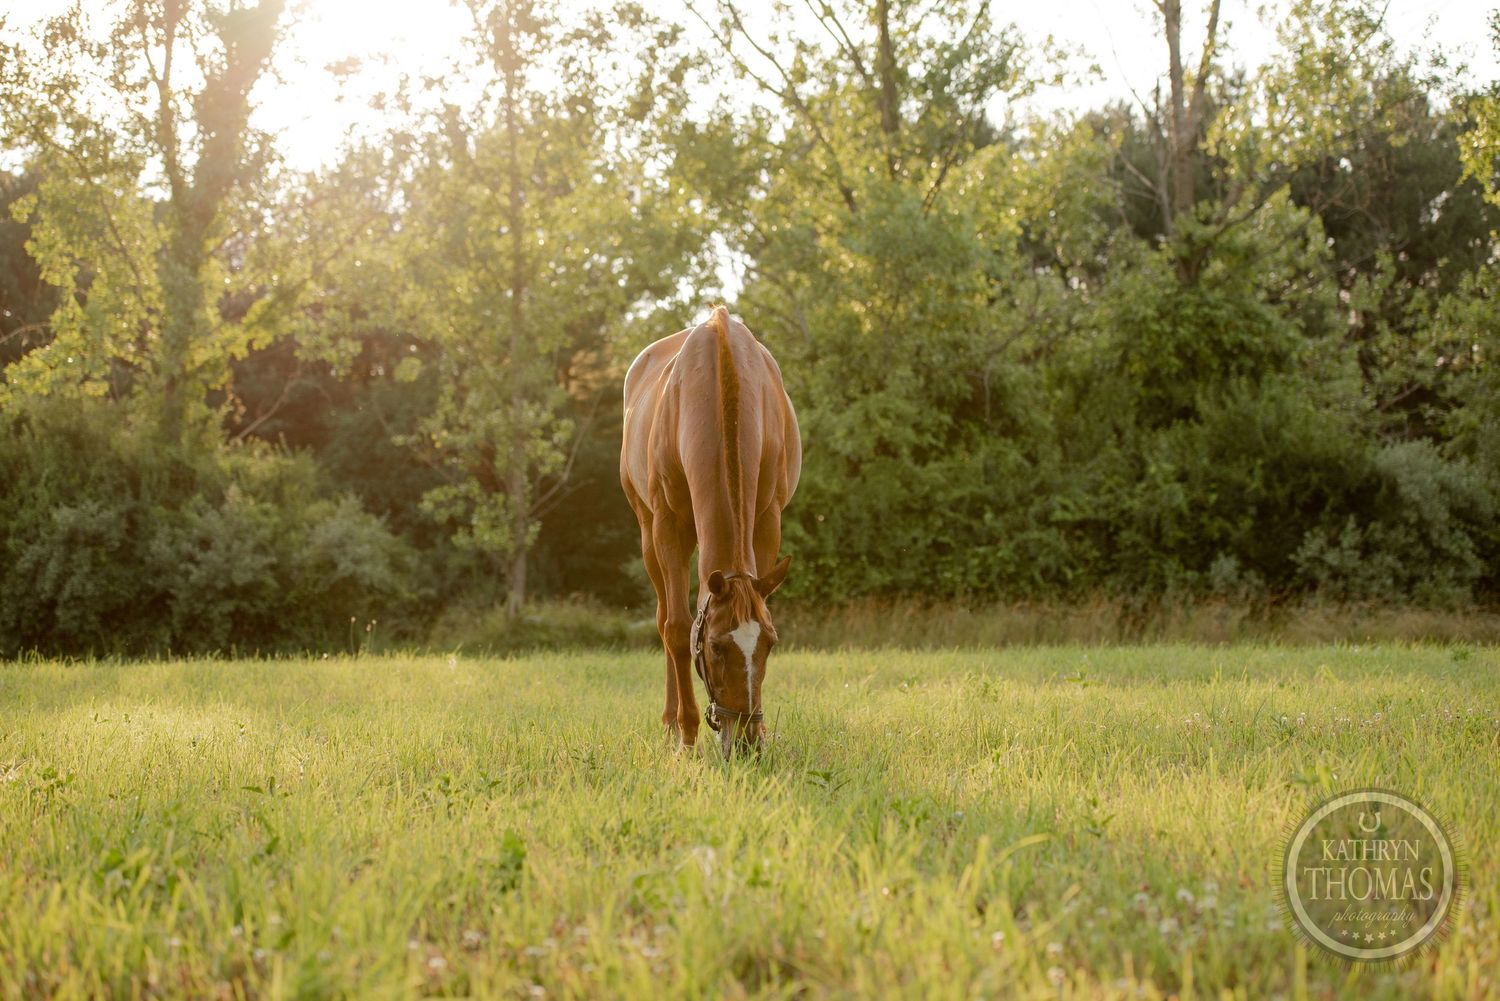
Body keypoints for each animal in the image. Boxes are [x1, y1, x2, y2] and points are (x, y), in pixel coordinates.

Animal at [620, 306, 802, 754]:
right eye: (717, 648)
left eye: (770, 644)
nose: (746, 742)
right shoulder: (668, 525)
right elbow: (677, 628)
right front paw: (686, 734)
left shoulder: (767, 519)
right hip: (647, 532)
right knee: (663, 618)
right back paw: (671, 722)